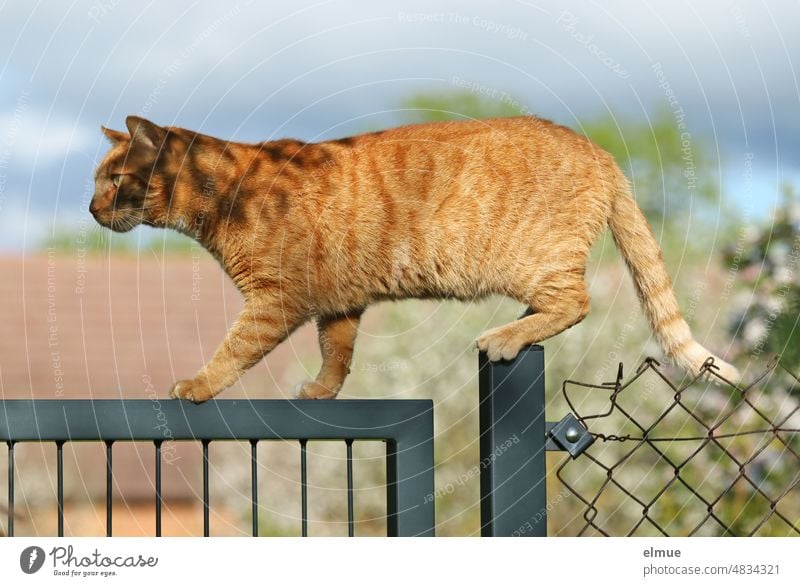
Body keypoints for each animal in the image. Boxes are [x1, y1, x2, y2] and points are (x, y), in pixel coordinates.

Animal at [92, 116, 736, 400]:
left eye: (115, 180)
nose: (91, 208)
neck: (226, 193)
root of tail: (597, 149)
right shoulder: (338, 304)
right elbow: (338, 355)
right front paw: (323, 391)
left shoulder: (274, 301)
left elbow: (233, 352)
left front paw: (198, 385)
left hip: (534, 263)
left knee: (575, 302)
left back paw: (505, 336)